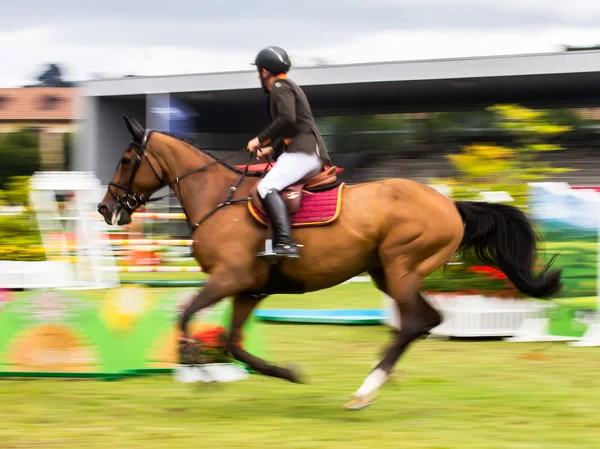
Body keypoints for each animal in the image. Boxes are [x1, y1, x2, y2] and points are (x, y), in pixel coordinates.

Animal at [96, 115, 560, 410]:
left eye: (125, 159)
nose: (105, 209)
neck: (218, 199)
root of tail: (450, 205)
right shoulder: (248, 289)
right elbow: (232, 342)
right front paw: (286, 372)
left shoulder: (228, 278)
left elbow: (185, 314)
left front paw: (196, 369)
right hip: (386, 272)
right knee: (418, 322)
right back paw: (379, 378)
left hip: (400, 265)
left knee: (418, 320)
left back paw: (367, 389)